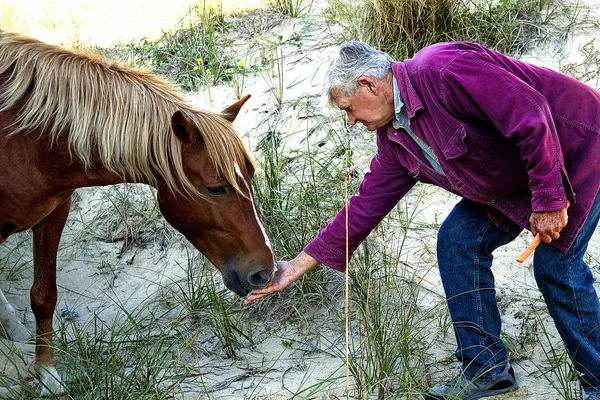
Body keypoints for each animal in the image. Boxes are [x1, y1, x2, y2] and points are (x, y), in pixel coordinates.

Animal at [0, 31, 276, 396]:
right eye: (216, 188)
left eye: (251, 175)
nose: (265, 271)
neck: (28, 143)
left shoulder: (55, 212)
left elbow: (44, 295)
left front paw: (47, 372)